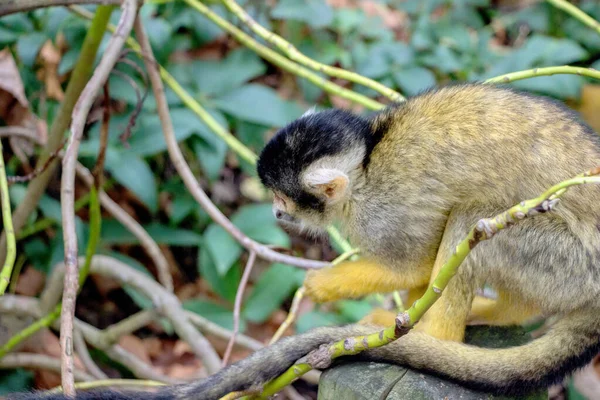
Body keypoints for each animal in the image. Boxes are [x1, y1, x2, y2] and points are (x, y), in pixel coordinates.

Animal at [12, 83, 600, 398]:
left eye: (284, 199)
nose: (274, 211)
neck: (365, 166)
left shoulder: (383, 208)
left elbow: (412, 263)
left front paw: (322, 285)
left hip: (569, 261)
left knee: (478, 215)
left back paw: (436, 335)